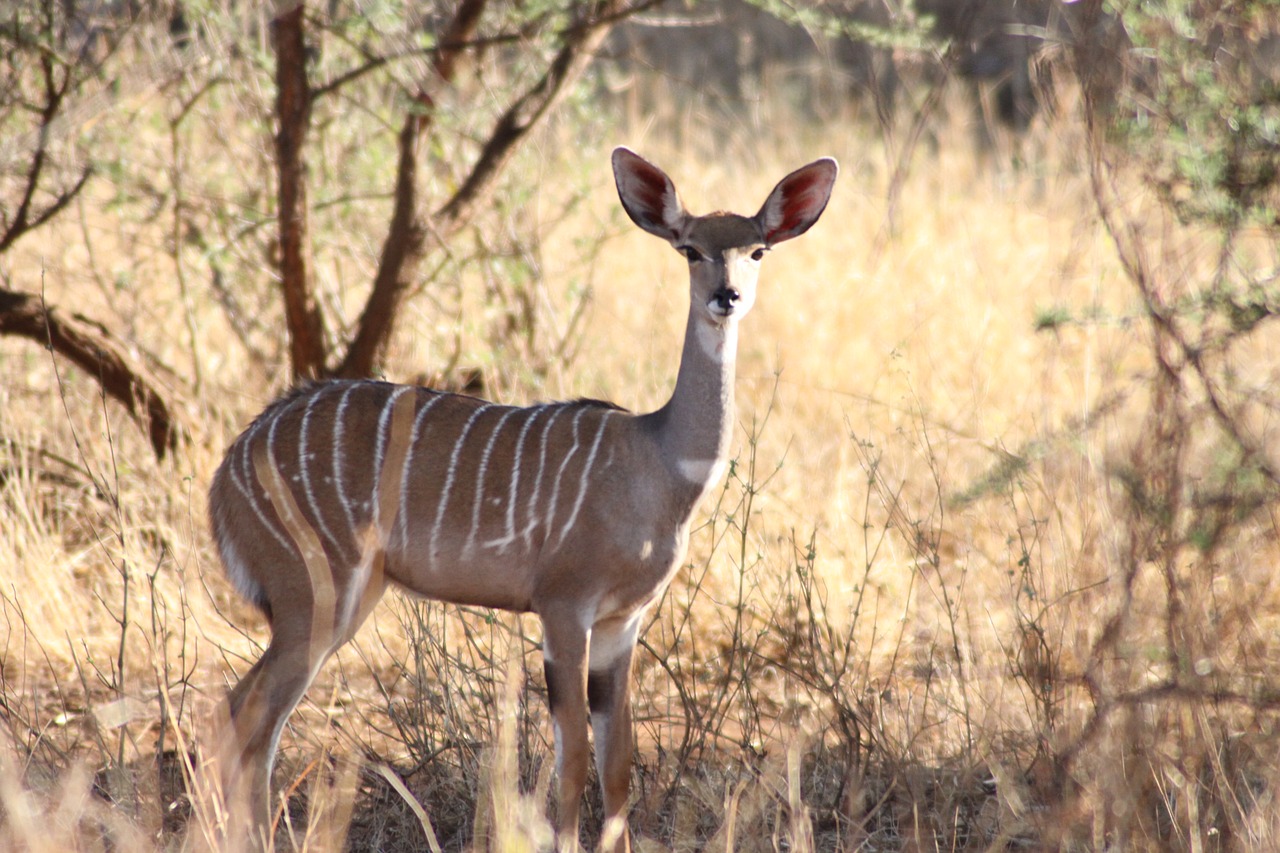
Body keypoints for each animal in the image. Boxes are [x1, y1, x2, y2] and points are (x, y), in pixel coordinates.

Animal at [204, 149, 834, 845]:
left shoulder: (622, 622)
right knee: (245, 714)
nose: (728, 297)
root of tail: (231, 465)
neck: (659, 461)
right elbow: (574, 757)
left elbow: (618, 763)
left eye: (758, 250)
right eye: (690, 249)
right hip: (310, 596)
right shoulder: (563, 607)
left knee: (246, 716)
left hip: (349, 600)